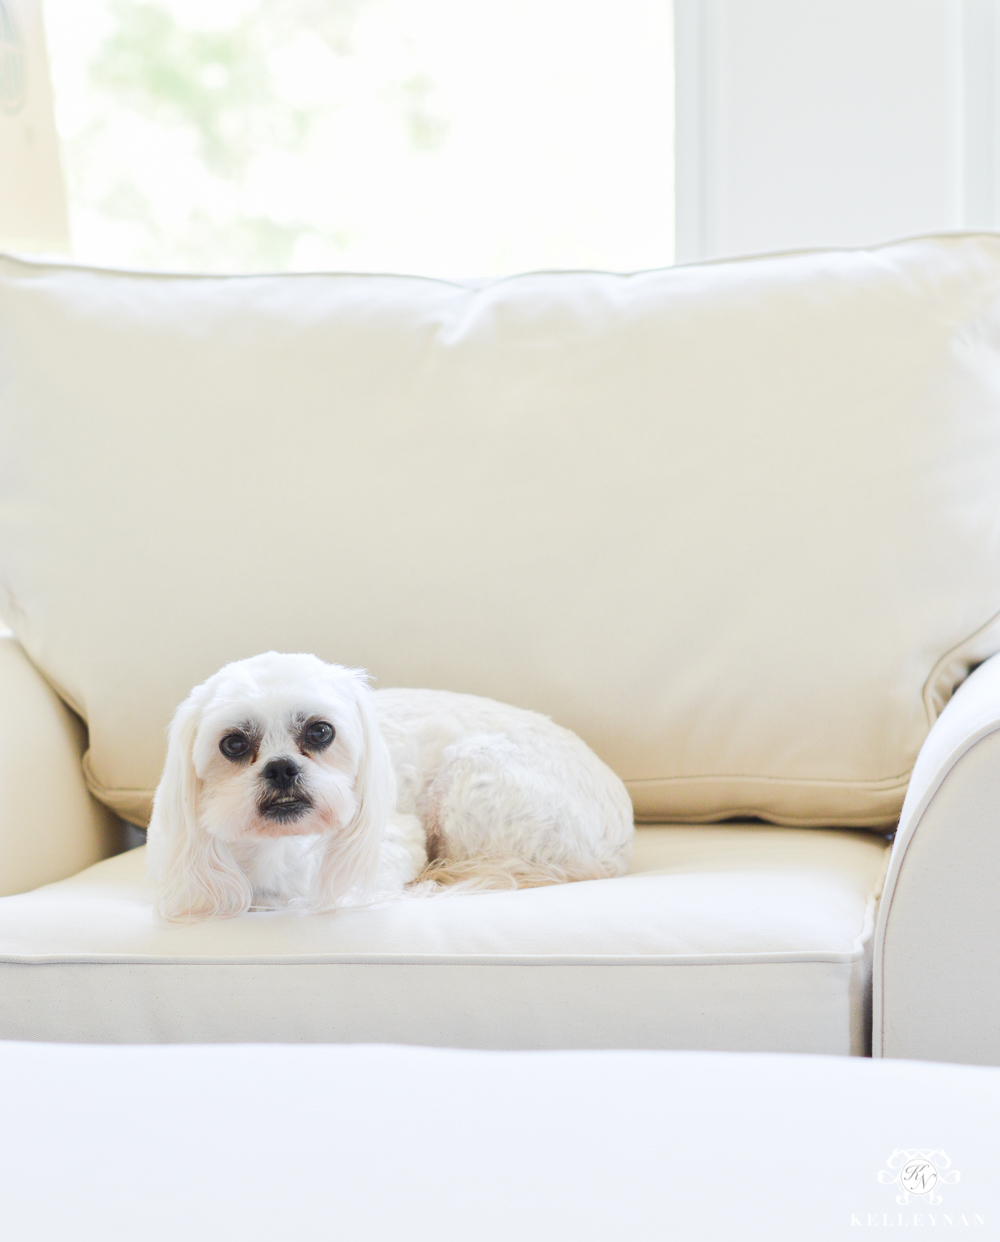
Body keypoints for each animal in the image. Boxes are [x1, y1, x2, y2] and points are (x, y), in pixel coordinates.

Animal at [146, 655, 631, 919]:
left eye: (321, 732)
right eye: (232, 743)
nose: (282, 769)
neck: (274, 848)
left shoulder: (396, 845)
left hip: (470, 778)